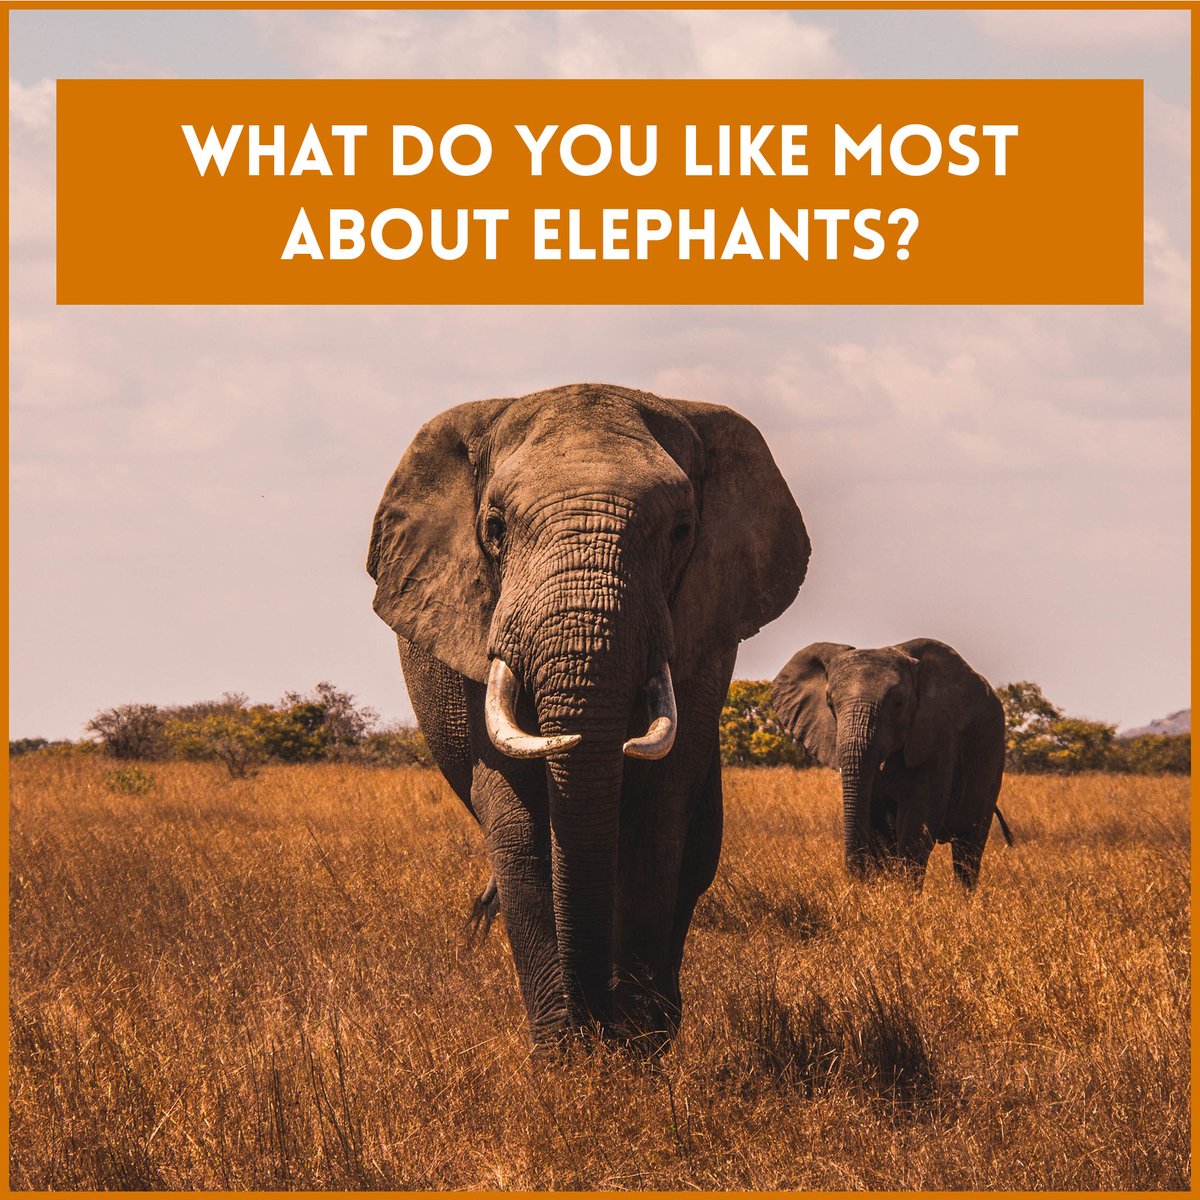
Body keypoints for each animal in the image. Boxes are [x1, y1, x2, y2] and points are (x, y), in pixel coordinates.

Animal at [368, 383, 810, 1049]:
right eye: (494, 528)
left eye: (682, 530)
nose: (595, 1022)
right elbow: (521, 833)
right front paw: (566, 1057)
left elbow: (656, 828)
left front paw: (635, 1051)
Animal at [770, 639, 1010, 889]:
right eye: (830, 703)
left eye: (898, 703)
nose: (855, 879)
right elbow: (878, 826)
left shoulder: (939, 740)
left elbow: (917, 823)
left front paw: (904, 894)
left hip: (991, 758)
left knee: (968, 847)